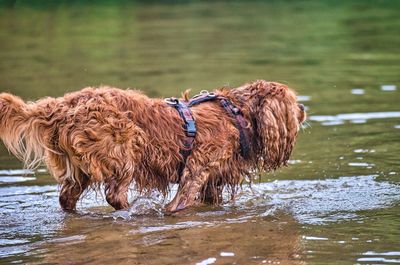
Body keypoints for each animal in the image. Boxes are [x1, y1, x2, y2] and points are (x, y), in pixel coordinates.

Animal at [0, 79, 306, 211]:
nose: (304, 108)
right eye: (293, 103)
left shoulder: (212, 180)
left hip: (79, 169)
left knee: (67, 198)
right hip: (123, 149)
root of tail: (61, 106)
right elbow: (180, 202)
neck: (236, 113)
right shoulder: (196, 171)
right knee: (114, 194)